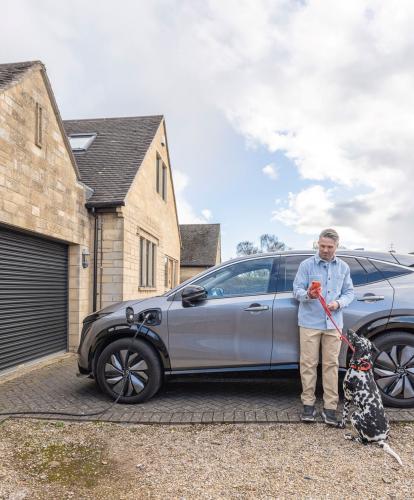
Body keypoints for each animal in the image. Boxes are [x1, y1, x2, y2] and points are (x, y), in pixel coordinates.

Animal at [338, 328, 402, 464]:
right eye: (361, 336)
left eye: (357, 339)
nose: (349, 330)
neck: (360, 367)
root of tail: (380, 438)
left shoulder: (347, 397)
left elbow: (343, 416)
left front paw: (340, 426)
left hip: (355, 415)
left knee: (364, 441)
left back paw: (349, 436)